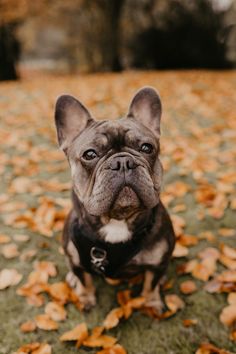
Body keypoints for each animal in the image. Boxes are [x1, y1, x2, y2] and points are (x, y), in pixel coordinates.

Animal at [54, 87, 175, 312]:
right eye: (89, 154)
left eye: (147, 148)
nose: (123, 162)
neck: (117, 220)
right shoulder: (77, 260)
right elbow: (84, 279)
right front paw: (85, 298)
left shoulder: (156, 264)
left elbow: (150, 284)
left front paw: (152, 302)